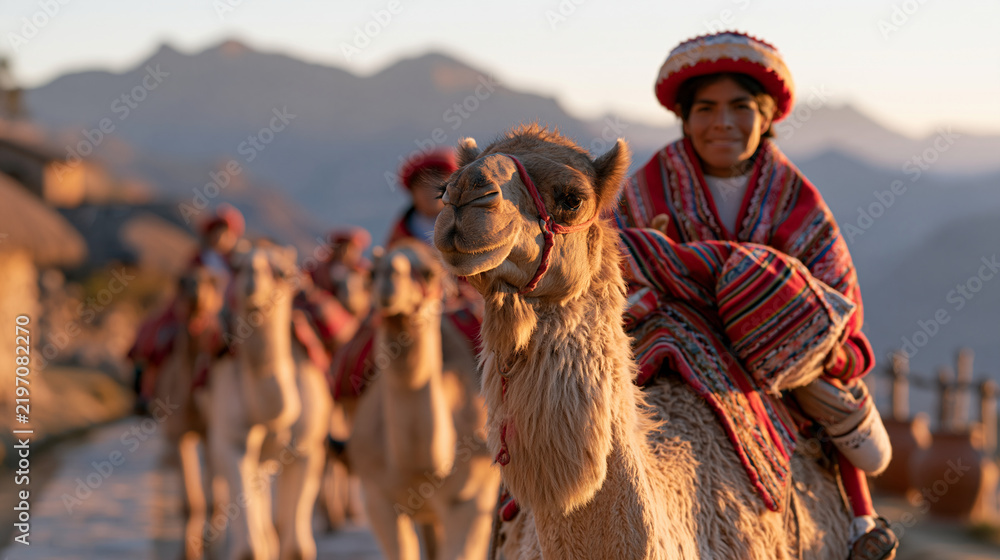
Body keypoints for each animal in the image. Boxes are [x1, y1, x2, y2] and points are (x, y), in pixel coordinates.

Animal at [205, 240, 332, 560]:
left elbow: (297, 547)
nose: (252, 275)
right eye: (236, 266)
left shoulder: (307, 448)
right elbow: (250, 548)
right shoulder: (232, 443)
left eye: (282, 272)